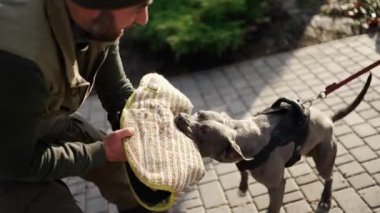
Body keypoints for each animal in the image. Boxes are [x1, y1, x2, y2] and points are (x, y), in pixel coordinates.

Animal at [174, 73, 372, 213]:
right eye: (199, 113)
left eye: (203, 132)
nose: (179, 116)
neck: (242, 135)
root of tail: (329, 120)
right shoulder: (241, 161)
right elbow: (243, 172)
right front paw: (242, 188)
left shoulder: (277, 186)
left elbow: (273, 208)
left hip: (324, 158)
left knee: (329, 177)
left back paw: (325, 200)